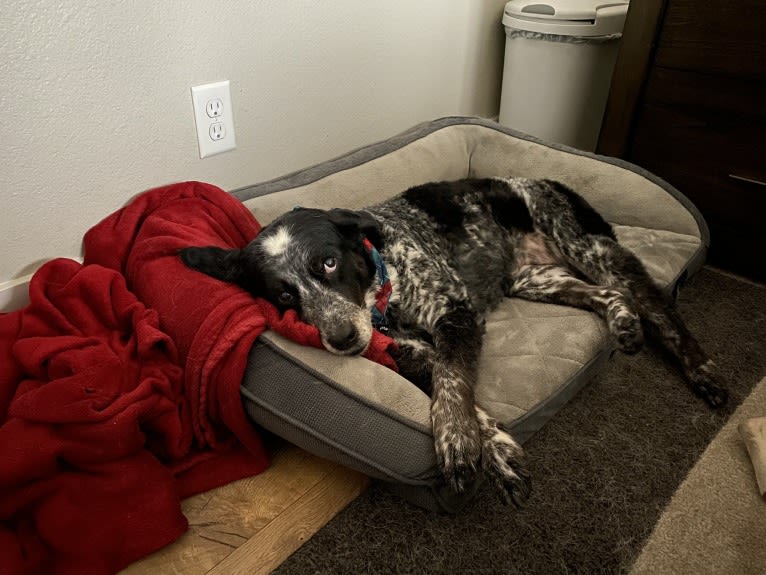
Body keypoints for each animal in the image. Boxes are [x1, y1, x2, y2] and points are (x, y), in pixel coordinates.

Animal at [182, 177, 732, 508]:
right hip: (537, 279)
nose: (341, 339)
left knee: (656, 305)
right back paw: (622, 323)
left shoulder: (456, 316)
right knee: (612, 295)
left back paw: (702, 371)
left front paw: (458, 445)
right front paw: (496, 452)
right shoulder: (413, 349)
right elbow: (460, 397)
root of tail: (546, 180)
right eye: (283, 294)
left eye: (328, 264)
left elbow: (452, 386)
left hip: (586, 246)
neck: (386, 292)